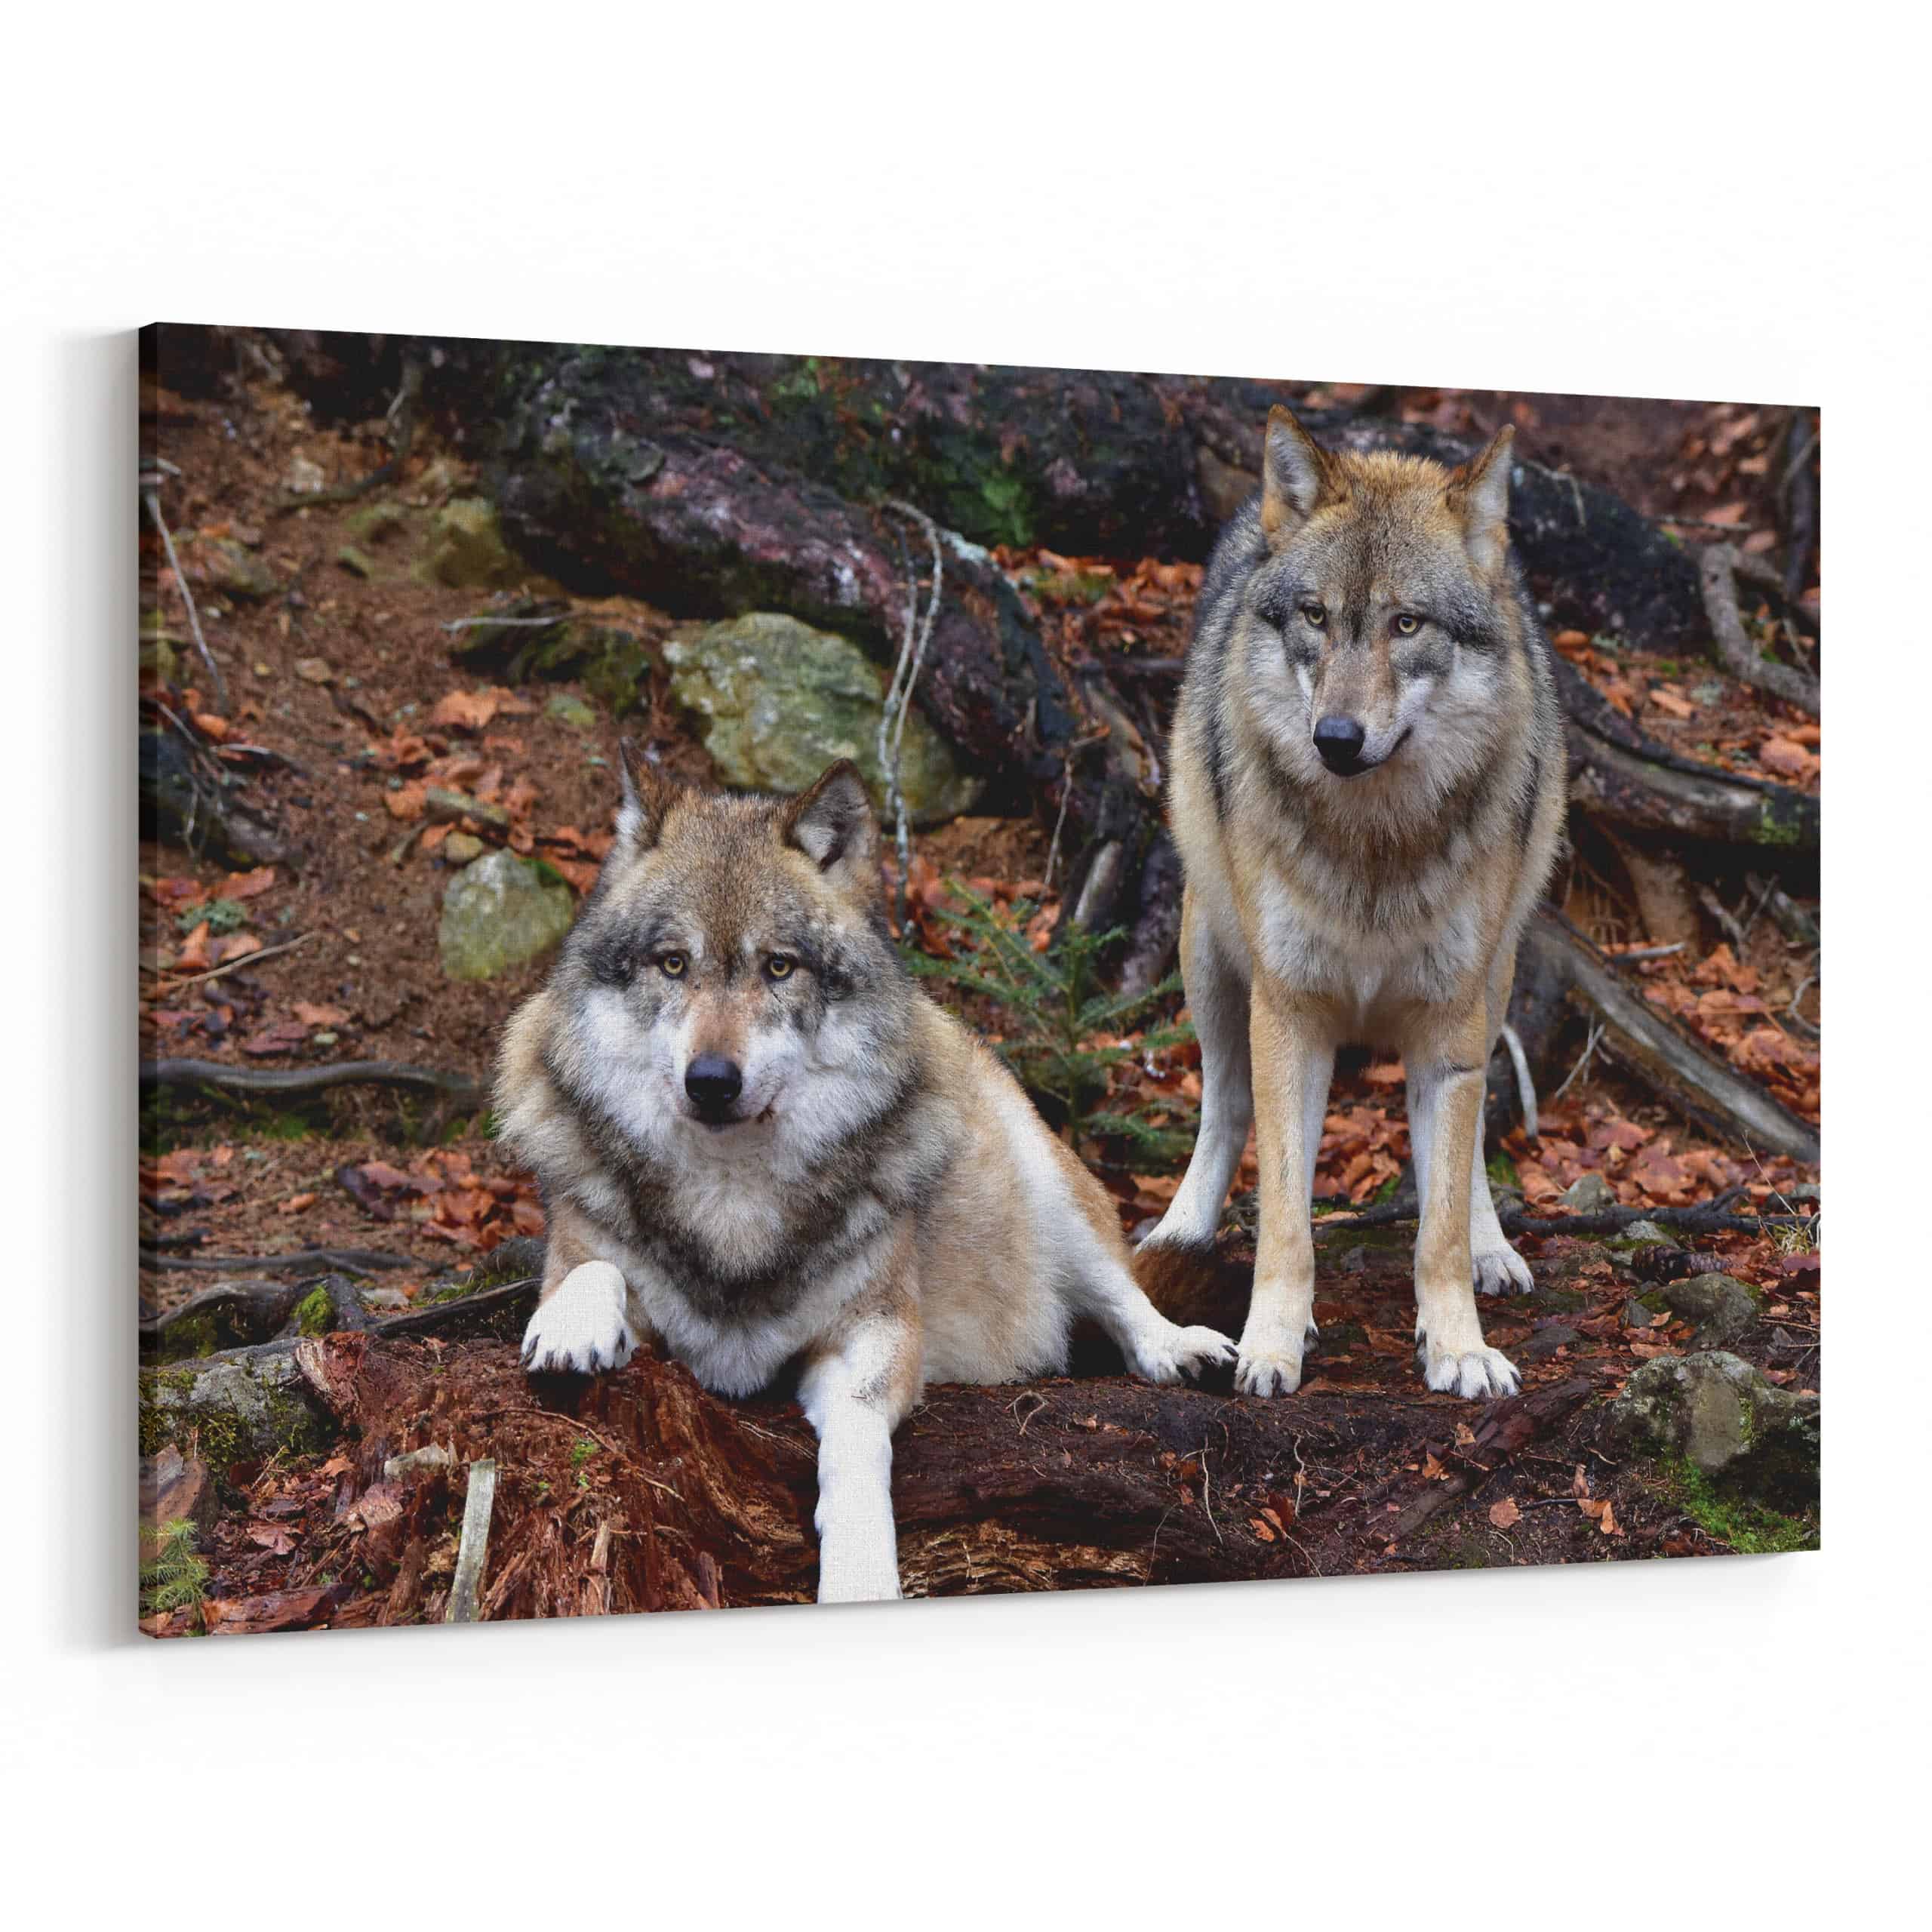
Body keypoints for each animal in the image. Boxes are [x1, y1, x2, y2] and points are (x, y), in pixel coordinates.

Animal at [494, 752, 1235, 1603]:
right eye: (673, 963)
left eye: (779, 966)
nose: (710, 1081)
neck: (732, 1201)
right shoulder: (594, 1262)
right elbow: (594, 1271)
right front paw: (573, 1326)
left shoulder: (876, 1332)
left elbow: (853, 1442)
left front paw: (857, 1577)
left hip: (1044, 1184)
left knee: (1123, 1294)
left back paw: (1178, 1348)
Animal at [1141, 407, 1566, 1401]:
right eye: (1316, 616)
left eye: (1406, 623)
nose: (1334, 737)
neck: (1375, 847)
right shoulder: (1289, 1015)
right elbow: (1284, 1220)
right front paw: (1270, 1343)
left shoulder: (1448, 1025)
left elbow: (1438, 1220)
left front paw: (1458, 1346)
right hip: (1210, 959)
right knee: (1225, 1111)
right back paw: (1180, 1234)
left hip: (1492, 983)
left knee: (1467, 1143)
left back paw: (1492, 1249)